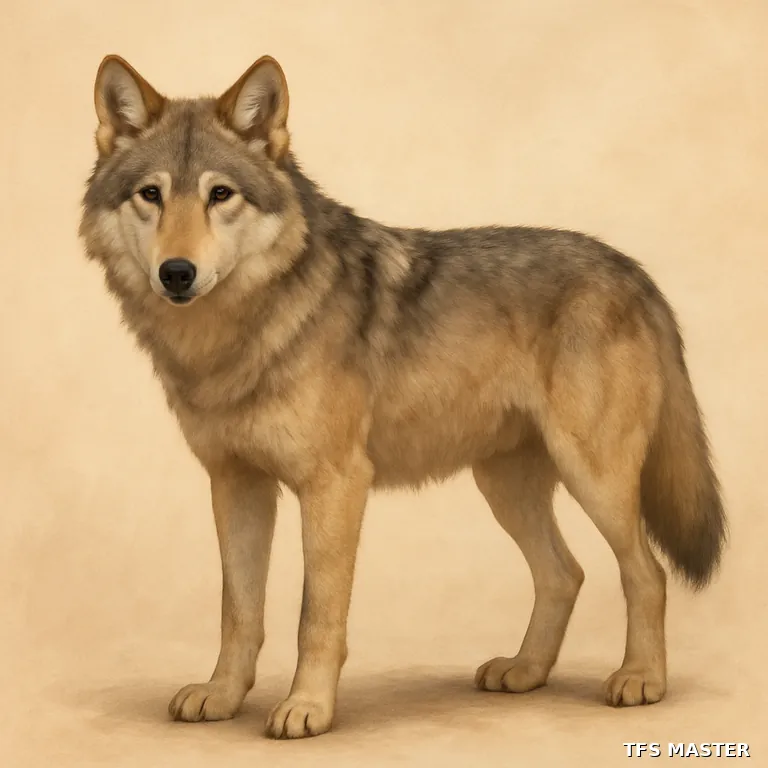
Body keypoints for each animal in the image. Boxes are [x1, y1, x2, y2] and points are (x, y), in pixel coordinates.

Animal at [79, 54, 726, 739]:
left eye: (219, 195)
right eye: (151, 194)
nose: (176, 273)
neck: (235, 336)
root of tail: (635, 272)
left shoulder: (334, 486)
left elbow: (316, 615)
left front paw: (307, 709)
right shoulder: (236, 485)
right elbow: (239, 610)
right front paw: (223, 696)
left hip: (594, 479)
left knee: (646, 573)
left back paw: (642, 680)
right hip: (505, 488)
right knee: (564, 574)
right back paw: (525, 671)